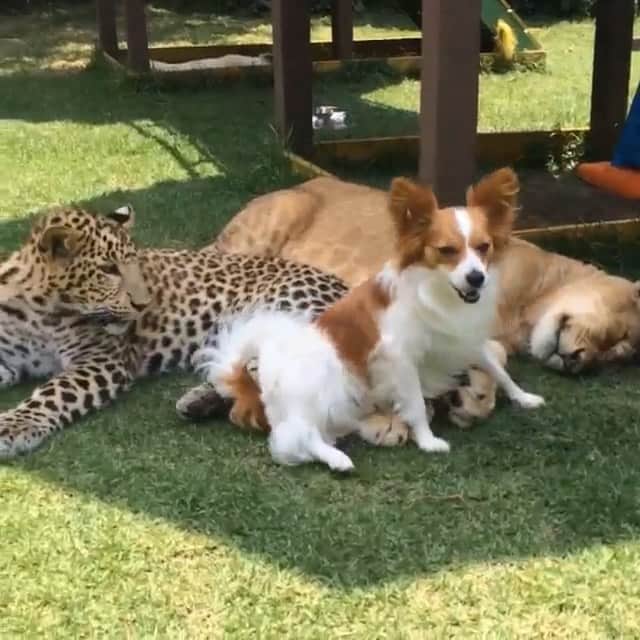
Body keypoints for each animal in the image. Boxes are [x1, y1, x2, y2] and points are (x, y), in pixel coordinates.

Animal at [0, 204, 353, 459]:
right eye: (108, 270)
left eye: (134, 264)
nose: (143, 304)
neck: (42, 309)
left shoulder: (102, 360)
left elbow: (55, 394)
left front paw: (15, 426)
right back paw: (198, 402)